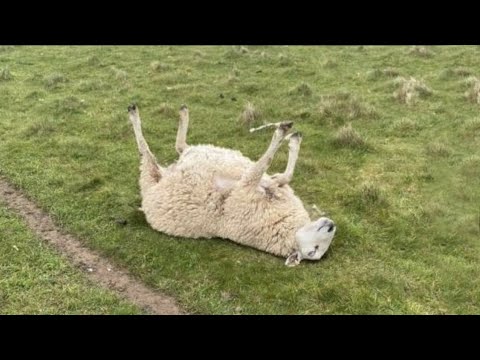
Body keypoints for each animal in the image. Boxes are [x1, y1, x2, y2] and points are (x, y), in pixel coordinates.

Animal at [128, 102, 338, 266]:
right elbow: (283, 174)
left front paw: (282, 134)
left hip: (152, 176)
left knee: (147, 150)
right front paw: (292, 139)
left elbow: (264, 165)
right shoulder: (269, 183)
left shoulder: (245, 189)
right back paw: (179, 113)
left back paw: (135, 113)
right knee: (180, 146)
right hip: (183, 158)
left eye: (313, 251)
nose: (331, 225)